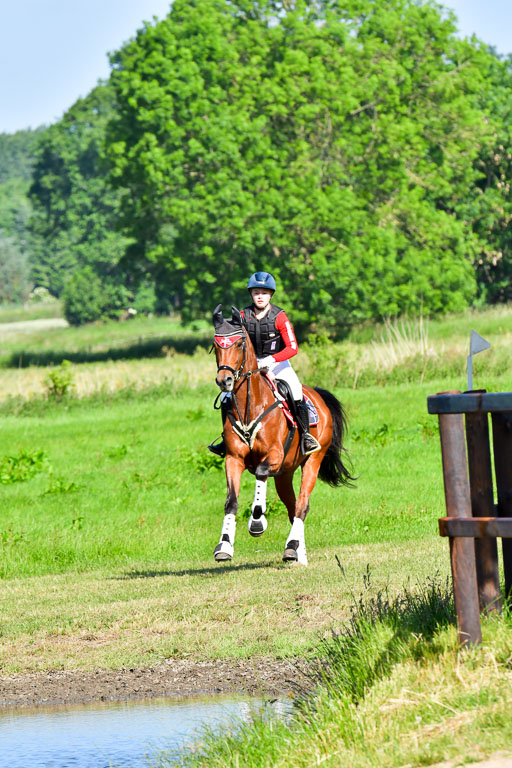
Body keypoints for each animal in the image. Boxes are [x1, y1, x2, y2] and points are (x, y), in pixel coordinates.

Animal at [210, 305, 354, 566]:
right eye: (216, 344)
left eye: (239, 343)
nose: (224, 380)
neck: (250, 405)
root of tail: (317, 395)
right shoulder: (234, 459)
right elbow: (231, 502)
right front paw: (224, 546)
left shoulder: (273, 456)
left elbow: (260, 474)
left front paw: (257, 523)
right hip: (284, 474)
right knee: (293, 507)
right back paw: (297, 553)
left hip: (312, 461)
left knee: (302, 506)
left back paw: (292, 548)